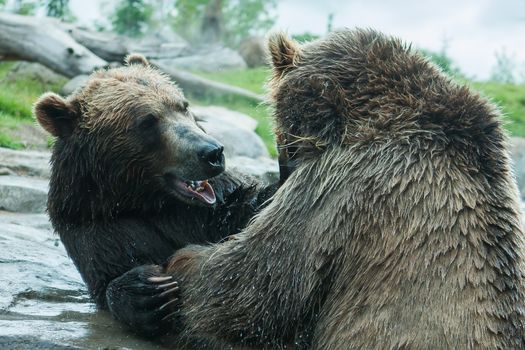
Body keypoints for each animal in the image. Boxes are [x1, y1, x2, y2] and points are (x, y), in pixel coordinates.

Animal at [33, 54, 282, 336]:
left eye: (183, 106)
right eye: (147, 122)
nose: (212, 152)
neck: (148, 201)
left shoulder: (216, 206)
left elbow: (247, 209)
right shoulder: (95, 224)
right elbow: (111, 271)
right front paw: (149, 291)